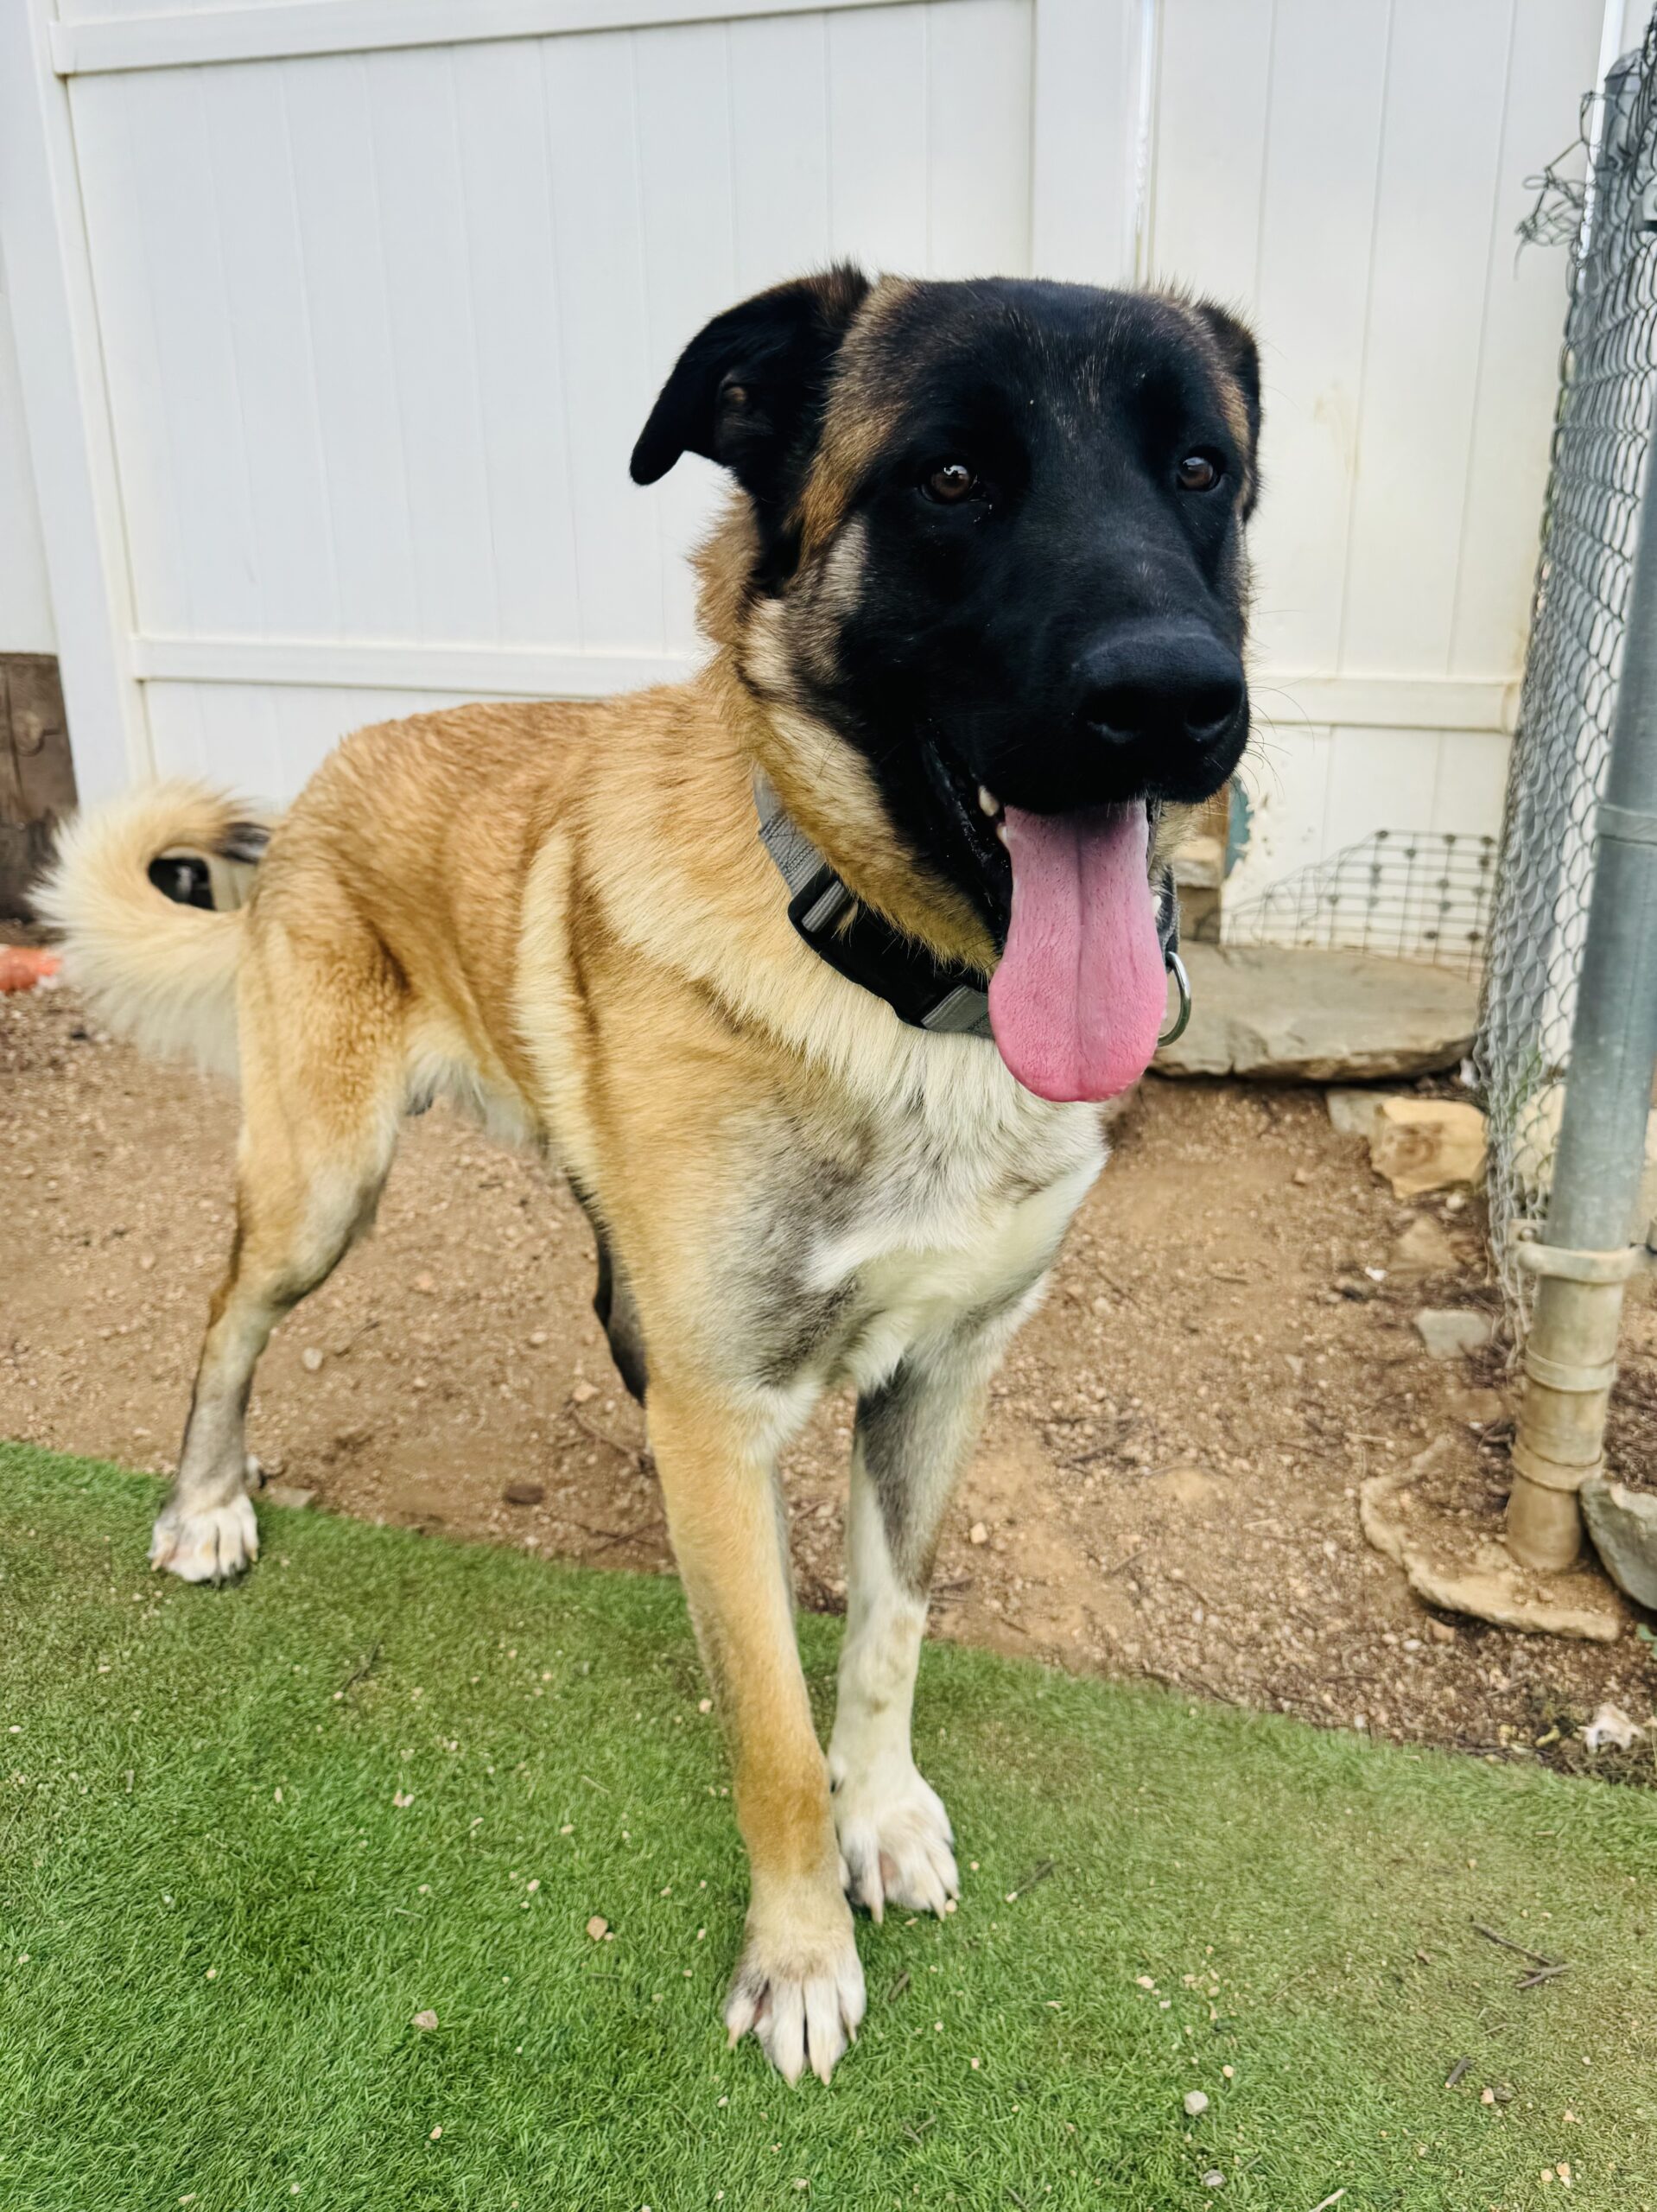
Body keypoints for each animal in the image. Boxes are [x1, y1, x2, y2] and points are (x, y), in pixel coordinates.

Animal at [42, 267, 1258, 2086]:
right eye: (949, 480)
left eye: (1199, 470)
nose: (1178, 703)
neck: (894, 985)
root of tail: (330, 768)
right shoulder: (723, 1411)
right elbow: (767, 1723)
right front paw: (801, 1951)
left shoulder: (942, 1375)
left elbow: (887, 1631)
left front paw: (882, 1813)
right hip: (322, 1188)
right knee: (226, 1323)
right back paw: (203, 1505)